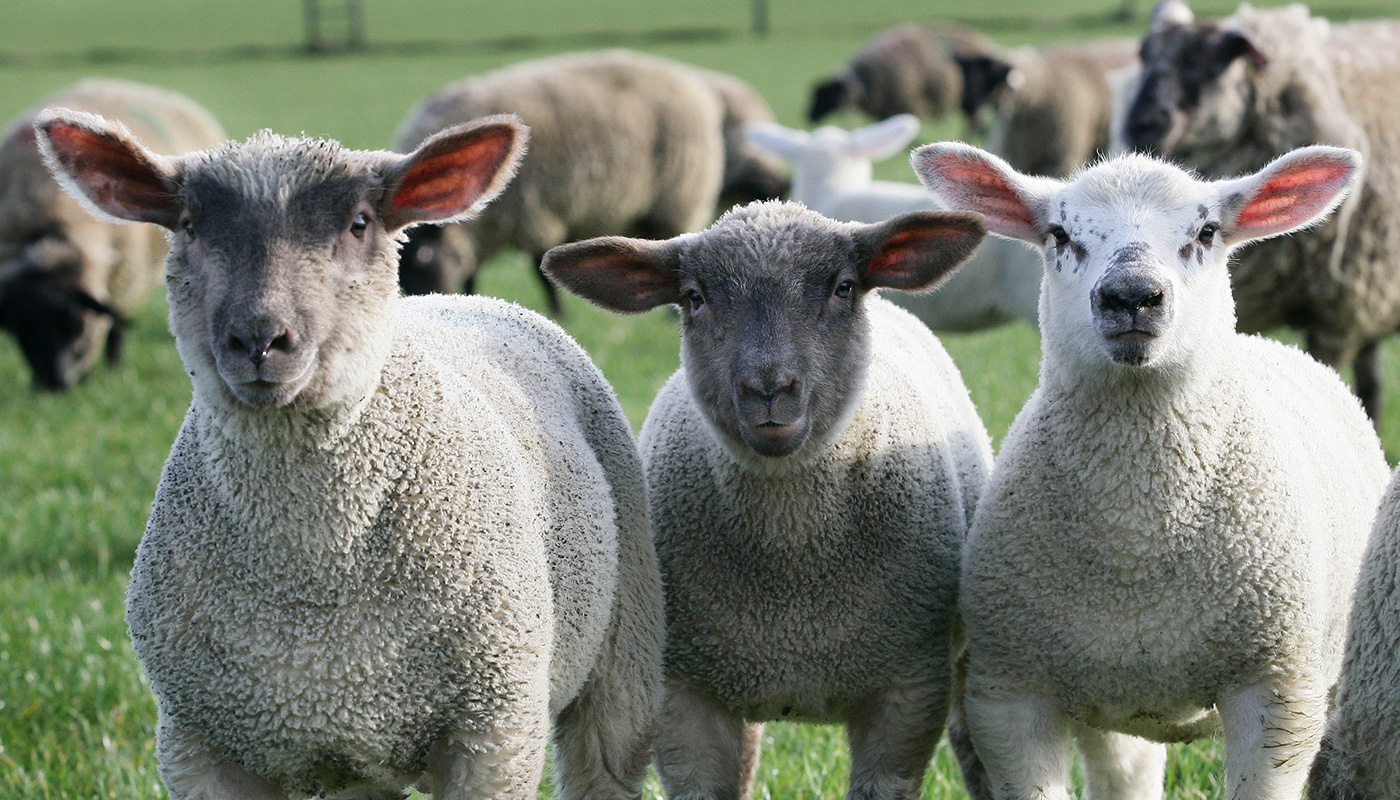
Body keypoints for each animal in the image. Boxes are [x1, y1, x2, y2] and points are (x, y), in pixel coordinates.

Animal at [0, 78, 224, 390]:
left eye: (76, 323)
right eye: (19, 330)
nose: (55, 385)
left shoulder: (123, 281)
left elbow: (115, 324)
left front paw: (110, 371)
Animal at [34, 109, 664, 800]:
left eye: (359, 222)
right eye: (191, 225)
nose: (259, 338)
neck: (311, 571)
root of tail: (467, 299)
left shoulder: (495, 727)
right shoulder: (198, 741)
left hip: (624, 645)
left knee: (606, 755)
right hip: (353, 757)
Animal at [393, 50, 786, 315]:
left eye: (423, 263)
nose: (420, 302)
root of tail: (688, 80)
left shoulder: (536, 214)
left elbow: (540, 270)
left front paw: (559, 312)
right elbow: (473, 275)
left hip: (676, 198)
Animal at [912, 140, 1390, 800]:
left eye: (1206, 231)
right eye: (1059, 234)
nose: (1131, 295)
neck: (1136, 538)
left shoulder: (1279, 690)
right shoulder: (1010, 694)